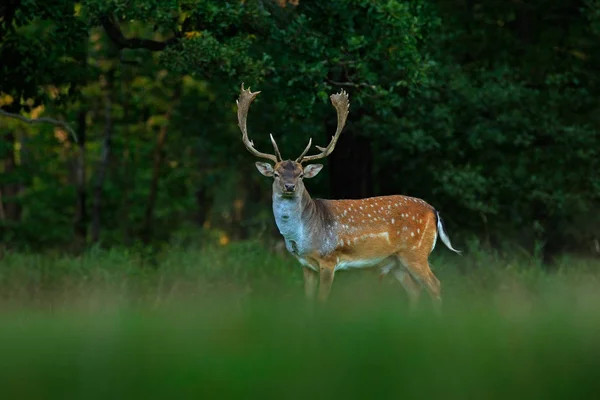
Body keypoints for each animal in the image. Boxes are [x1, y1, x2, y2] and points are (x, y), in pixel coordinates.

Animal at [234, 83, 460, 310]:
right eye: (276, 174)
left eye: (300, 175)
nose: (289, 186)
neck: (303, 236)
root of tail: (434, 211)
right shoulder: (305, 265)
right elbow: (308, 301)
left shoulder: (329, 259)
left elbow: (322, 300)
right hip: (395, 261)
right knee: (415, 291)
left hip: (416, 252)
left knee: (435, 286)